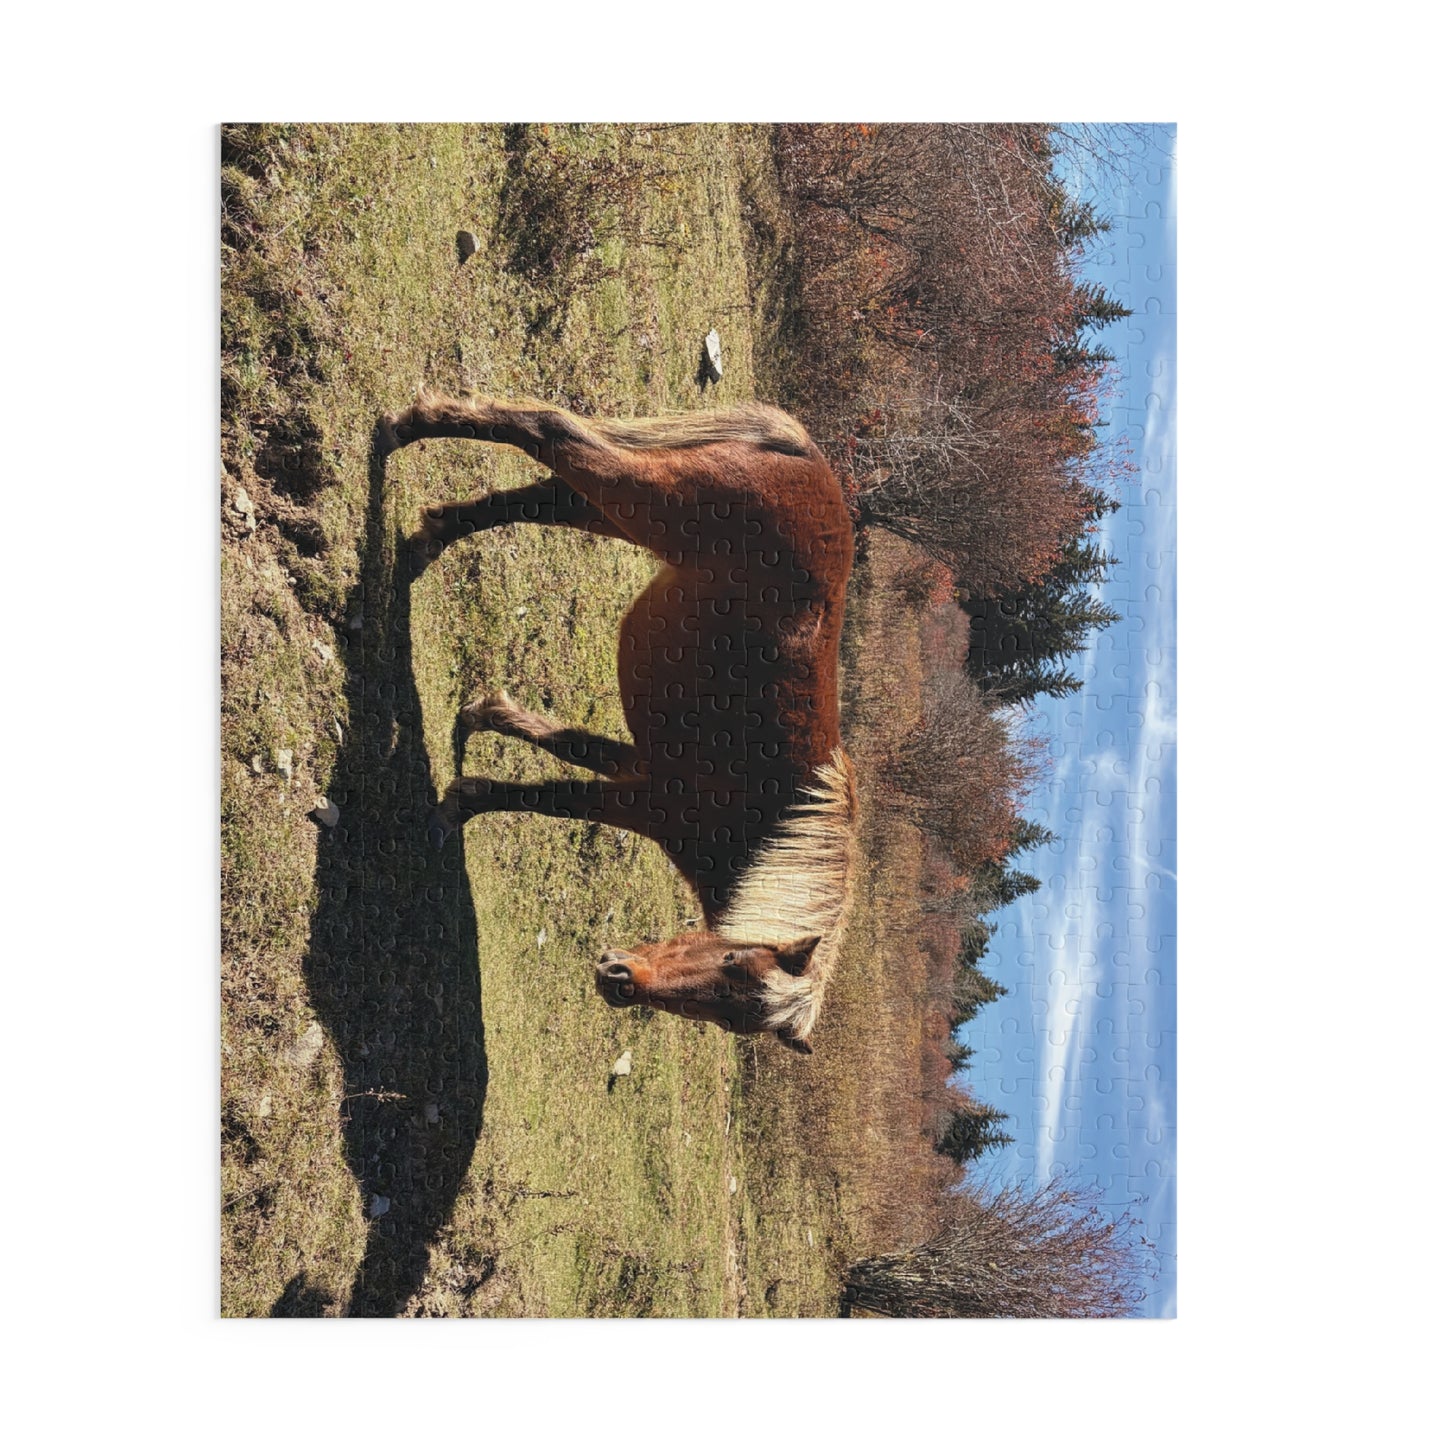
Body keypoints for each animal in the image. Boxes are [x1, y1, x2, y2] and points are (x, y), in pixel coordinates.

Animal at [377, 390, 858, 1052]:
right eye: (732, 960)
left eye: (726, 1017)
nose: (619, 981)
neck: (772, 829)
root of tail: (804, 456)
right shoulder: (643, 805)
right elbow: (552, 798)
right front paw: (459, 804)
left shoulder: (639, 766)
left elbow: (570, 745)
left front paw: (485, 716)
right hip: (641, 497)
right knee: (549, 429)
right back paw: (410, 426)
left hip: (612, 511)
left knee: (530, 500)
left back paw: (429, 533)